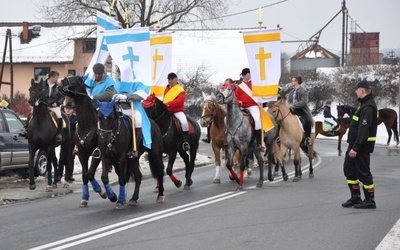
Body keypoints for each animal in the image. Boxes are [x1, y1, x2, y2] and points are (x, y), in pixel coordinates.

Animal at [58, 75, 108, 207]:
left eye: (74, 79)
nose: (59, 82)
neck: (87, 125)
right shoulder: (81, 153)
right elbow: (85, 175)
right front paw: (85, 198)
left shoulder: (97, 153)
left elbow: (90, 174)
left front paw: (102, 192)